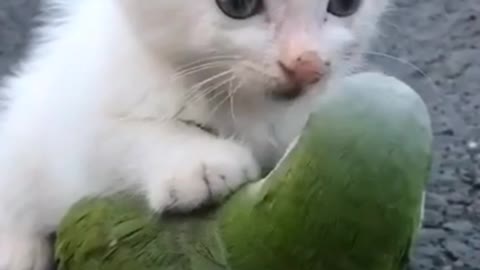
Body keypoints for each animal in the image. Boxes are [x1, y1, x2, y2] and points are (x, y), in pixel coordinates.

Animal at [0, 0, 390, 268]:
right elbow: (121, 135)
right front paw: (198, 163)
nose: (306, 65)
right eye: (237, 5)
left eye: (344, 4)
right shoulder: (80, 115)